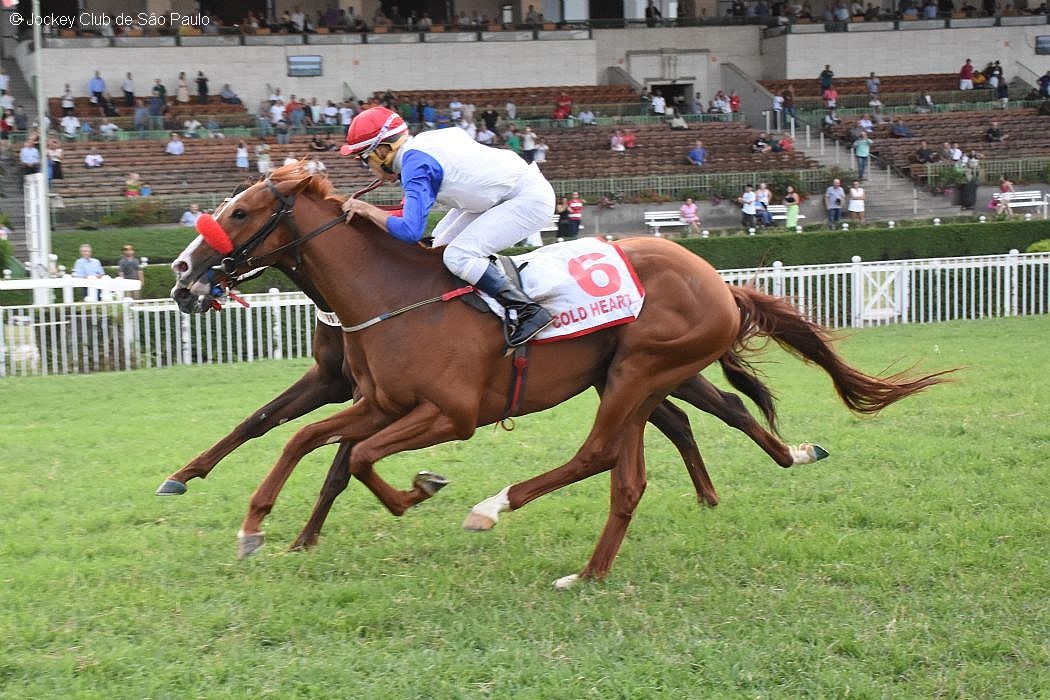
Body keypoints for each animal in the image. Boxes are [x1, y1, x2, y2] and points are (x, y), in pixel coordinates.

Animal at [168, 166, 949, 587]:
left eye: (242, 210)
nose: (180, 274)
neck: (394, 296)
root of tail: (718, 282)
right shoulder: (375, 399)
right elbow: (302, 439)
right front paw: (256, 525)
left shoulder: (447, 415)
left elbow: (352, 456)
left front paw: (420, 489)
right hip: (632, 379)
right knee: (650, 454)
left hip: (642, 369)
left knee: (613, 450)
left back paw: (495, 508)